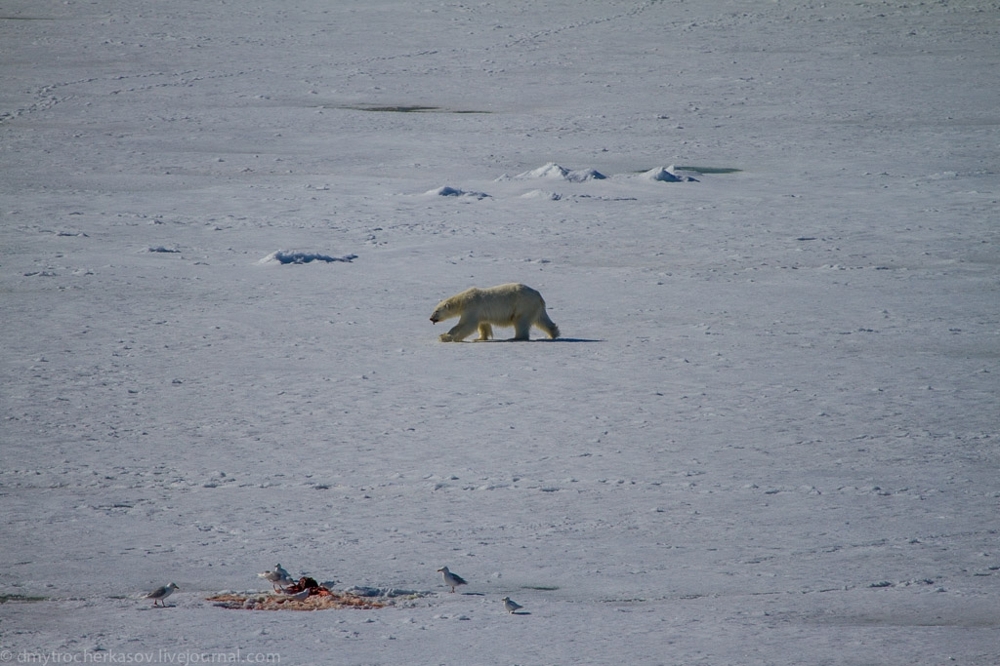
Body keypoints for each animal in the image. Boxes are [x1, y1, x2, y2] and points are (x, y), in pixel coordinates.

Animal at [428, 282, 560, 342]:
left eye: (436, 311)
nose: (430, 318)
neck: (462, 301)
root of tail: (538, 295)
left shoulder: (472, 307)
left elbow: (466, 325)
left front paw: (446, 337)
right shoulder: (480, 313)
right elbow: (483, 325)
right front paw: (480, 338)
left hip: (523, 305)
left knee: (521, 322)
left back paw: (515, 338)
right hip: (534, 307)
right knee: (542, 320)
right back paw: (552, 334)